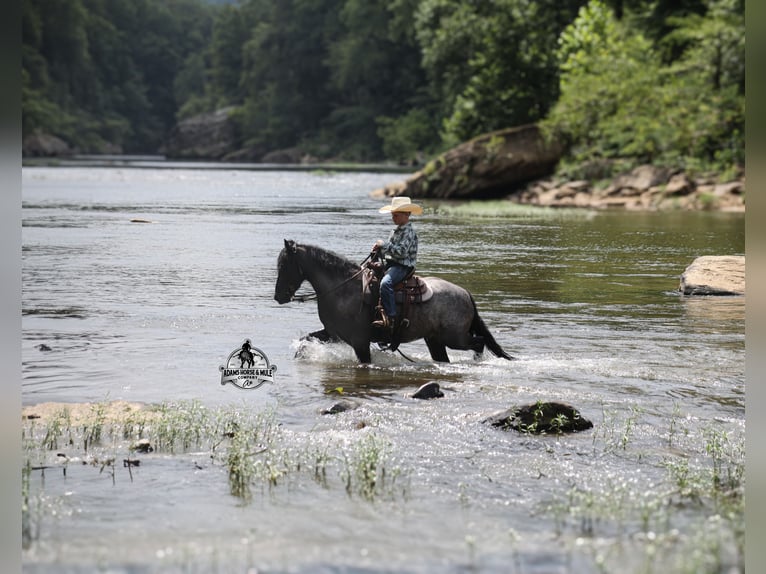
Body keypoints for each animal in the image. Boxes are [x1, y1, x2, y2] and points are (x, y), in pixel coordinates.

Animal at [274, 239, 514, 364]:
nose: (279, 296)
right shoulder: (332, 334)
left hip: (455, 338)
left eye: (284, 265)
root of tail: (465, 293)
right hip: (435, 340)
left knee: (479, 342)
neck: (342, 289)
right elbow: (305, 340)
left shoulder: (360, 342)